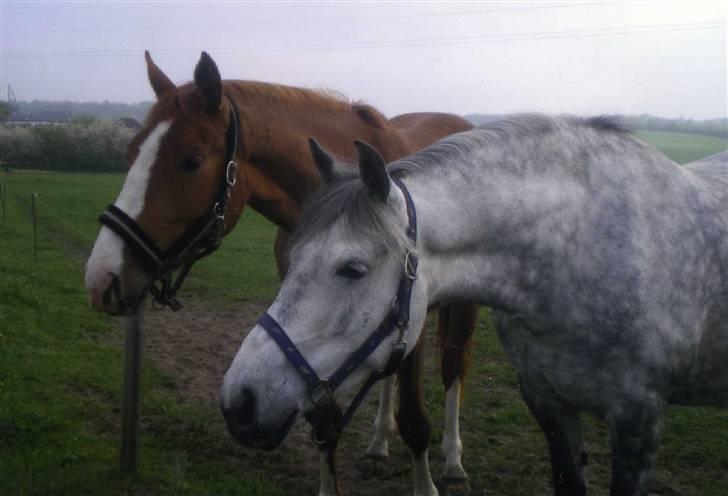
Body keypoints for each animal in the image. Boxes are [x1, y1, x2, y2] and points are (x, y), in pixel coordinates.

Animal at [85, 51, 474, 496]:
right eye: (131, 153)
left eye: (191, 161)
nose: (101, 278)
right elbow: (326, 424)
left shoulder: (410, 324)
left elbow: (415, 423)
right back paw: (378, 443)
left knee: (453, 369)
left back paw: (453, 461)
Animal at [223, 114, 728, 494]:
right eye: (292, 259)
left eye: (352, 269)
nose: (238, 402)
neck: (580, 250)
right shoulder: (550, 404)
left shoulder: (639, 420)